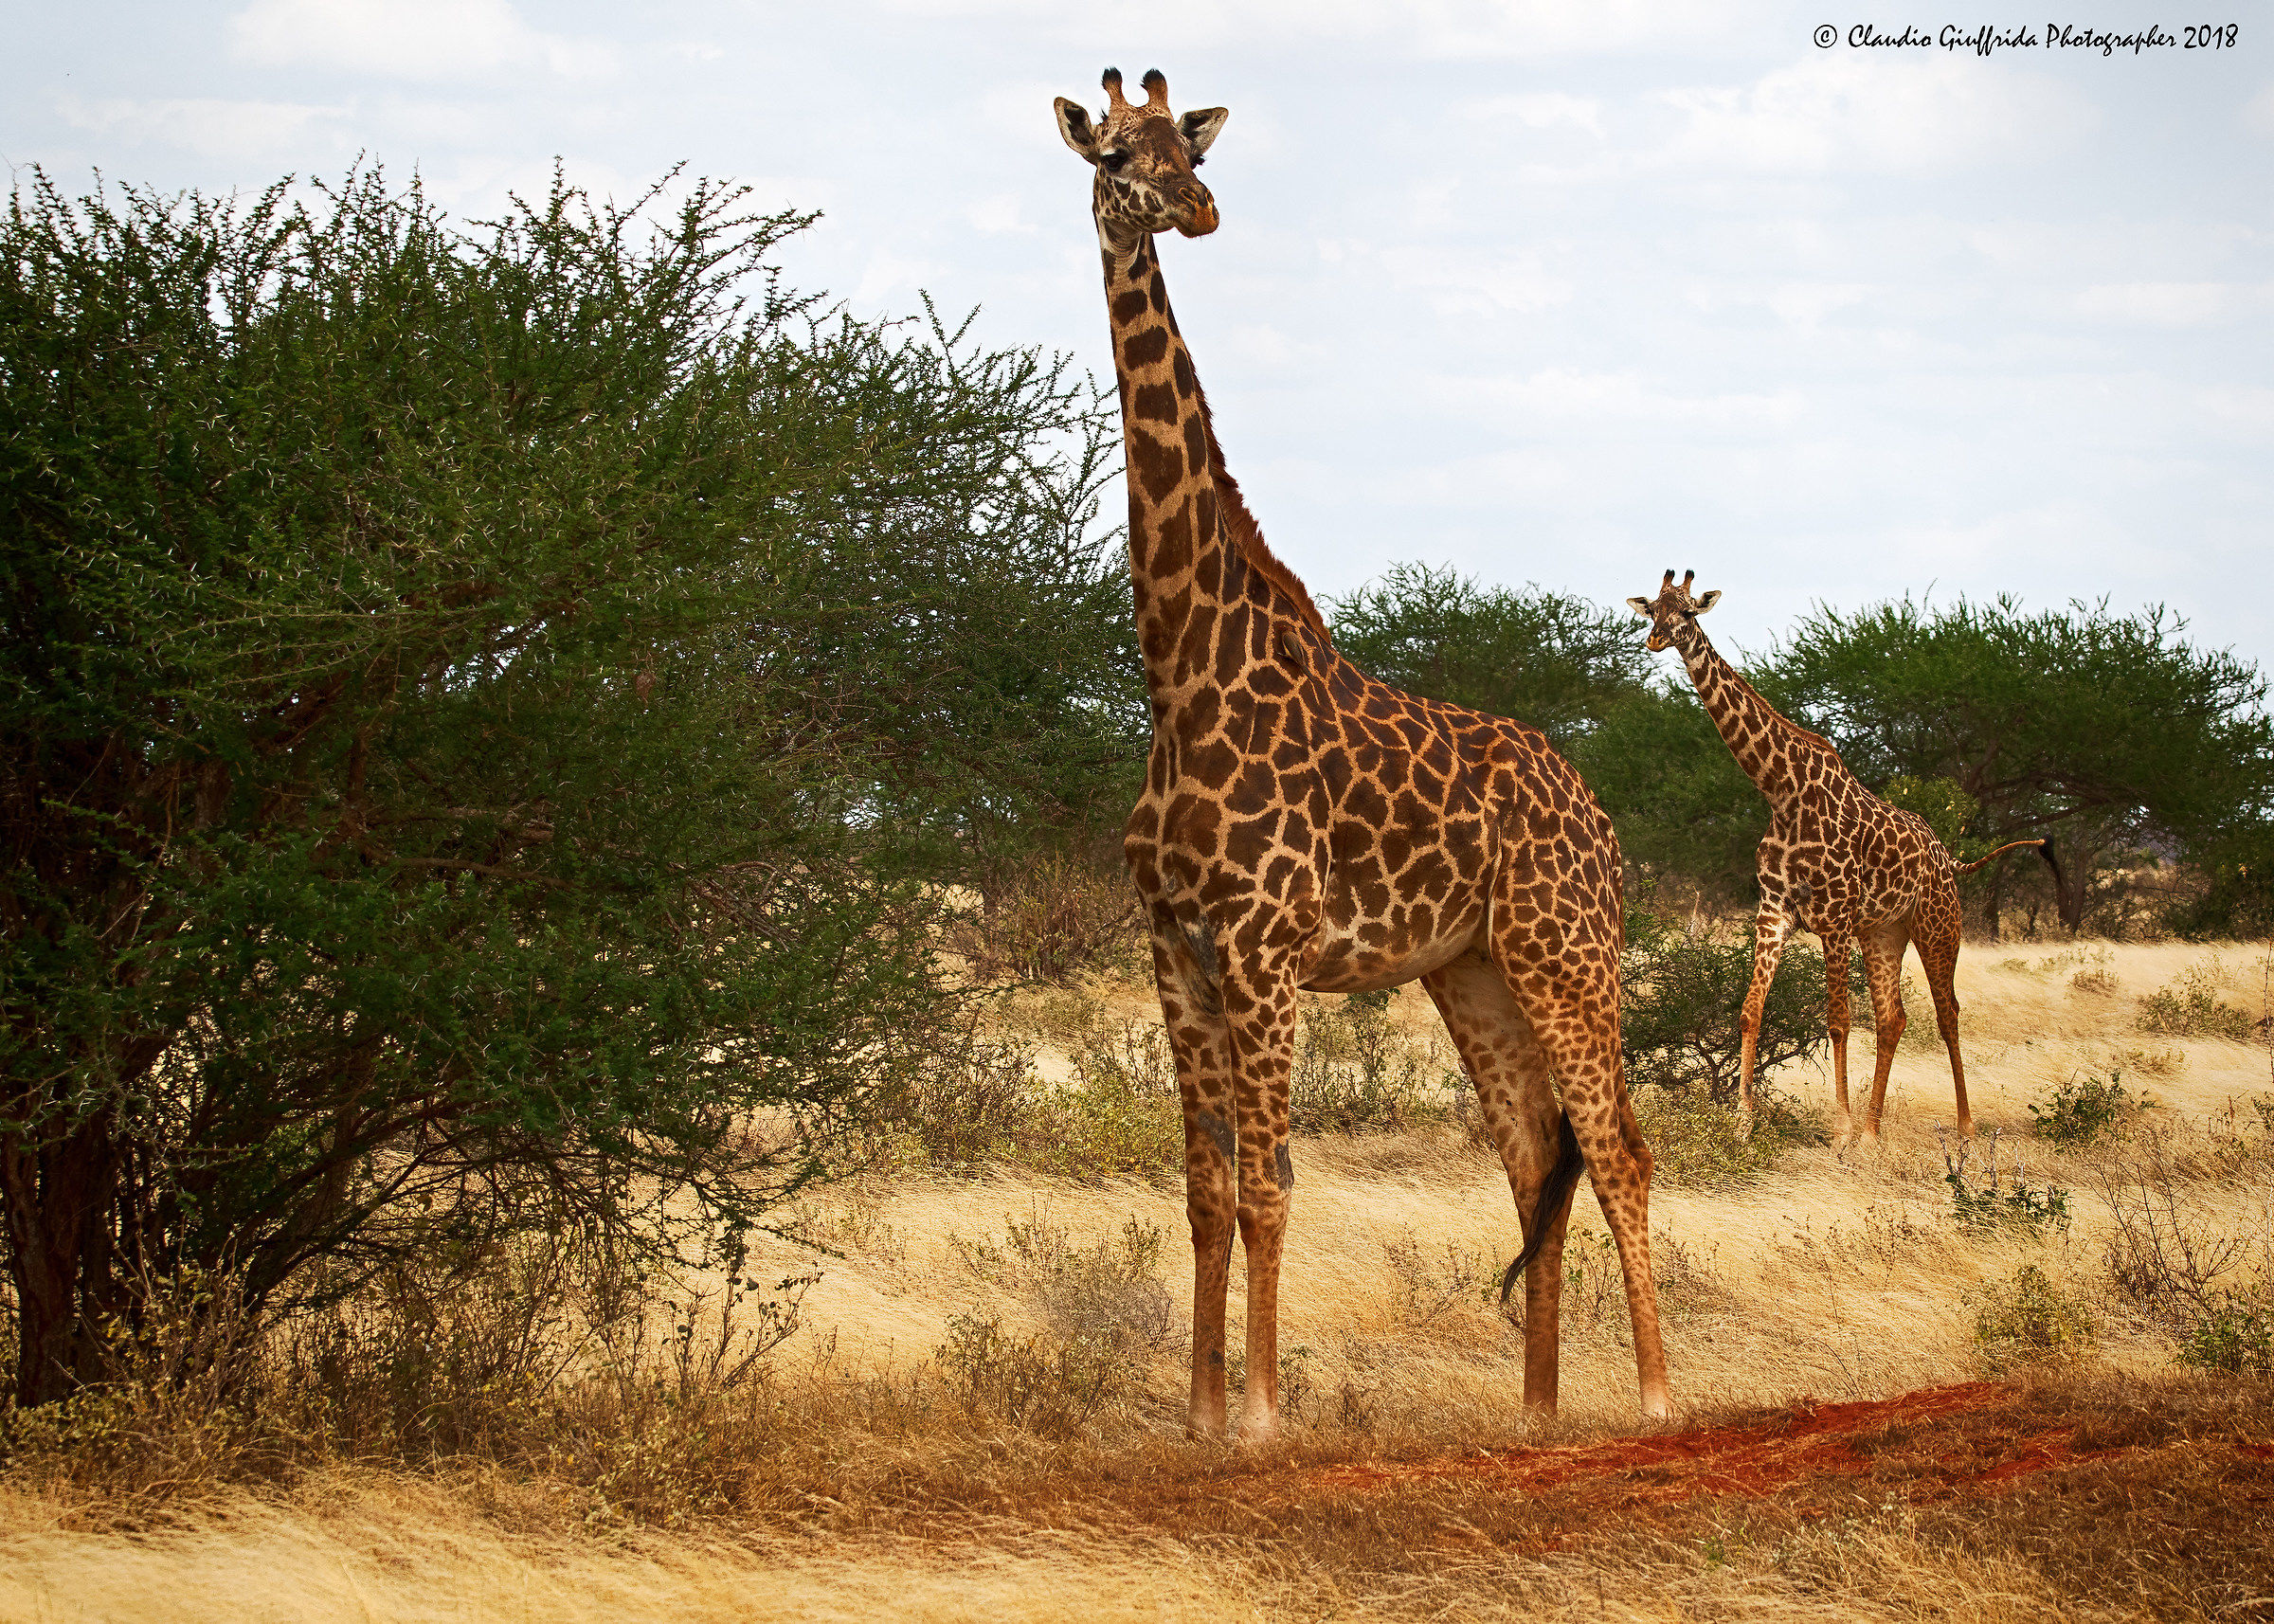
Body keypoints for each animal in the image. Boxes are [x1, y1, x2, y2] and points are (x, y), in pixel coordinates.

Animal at [1054, 67, 1670, 1442]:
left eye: (1192, 149)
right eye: (1117, 153)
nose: (1196, 209)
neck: (1181, 675)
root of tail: (1599, 813)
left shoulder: (1265, 946)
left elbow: (1272, 1182)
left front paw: (1261, 1417)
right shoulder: (1172, 946)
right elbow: (1203, 1190)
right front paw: (1196, 1416)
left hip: (1566, 952)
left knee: (1620, 1149)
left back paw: (1661, 1397)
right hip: (1475, 971)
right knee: (1531, 1158)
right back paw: (1538, 1411)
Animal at [1626, 571, 2050, 1145]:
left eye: (1689, 612)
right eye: (1652, 610)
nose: (1656, 640)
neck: (1782, 793)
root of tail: (1949, 857)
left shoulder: (1833, 918)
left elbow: (1838, 1019)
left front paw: (1840, 1126)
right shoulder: (1775, 912)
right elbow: (1751, 1009)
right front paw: (1743, 1120)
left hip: (1938, 925)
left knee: (1947, 1012)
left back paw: (1961, 1124)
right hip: (1884, 932)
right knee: (1893, 1016)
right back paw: (1874, 1128)